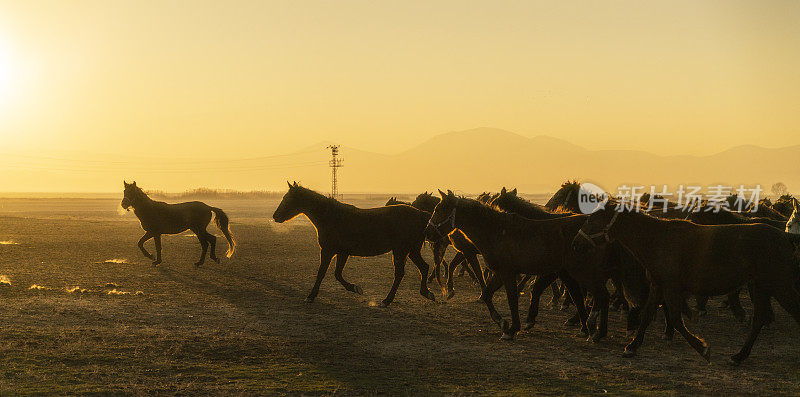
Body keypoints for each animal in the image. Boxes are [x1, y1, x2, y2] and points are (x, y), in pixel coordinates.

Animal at [276, 183, 438, 306]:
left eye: (287, 198)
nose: (275, 216)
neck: (332, 217)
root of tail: (422, 214)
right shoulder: (342, 252)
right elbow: (337, 274)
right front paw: (354, 288)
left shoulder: (328, 251)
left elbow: (322, 272)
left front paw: (311, 296)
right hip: (411, 251)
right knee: (424, 267)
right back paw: (426, 293)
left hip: (401, 251)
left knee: (400, 274)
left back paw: (386, 300)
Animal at [428, 190, 592, 338]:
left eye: (438, 210)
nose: (428, 232)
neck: (497, 232)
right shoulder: (500, 272)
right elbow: (487, 294)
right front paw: (503, 323)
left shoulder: (508, 272)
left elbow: (512, 298)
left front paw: (512, 329)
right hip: (567, 273)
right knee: (578, 296)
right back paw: (584, 326)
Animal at [576, 206, 800, 364]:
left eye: (592, 219)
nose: (575, 242)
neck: (658, 240)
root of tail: (785, 237)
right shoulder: (658, 286)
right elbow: (647, 316)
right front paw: (632, 347)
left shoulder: (672, 288)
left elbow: (676, 319)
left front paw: (703, 348)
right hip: (762, 286)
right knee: (758, 319)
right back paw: (739, 356)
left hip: (779, 285)